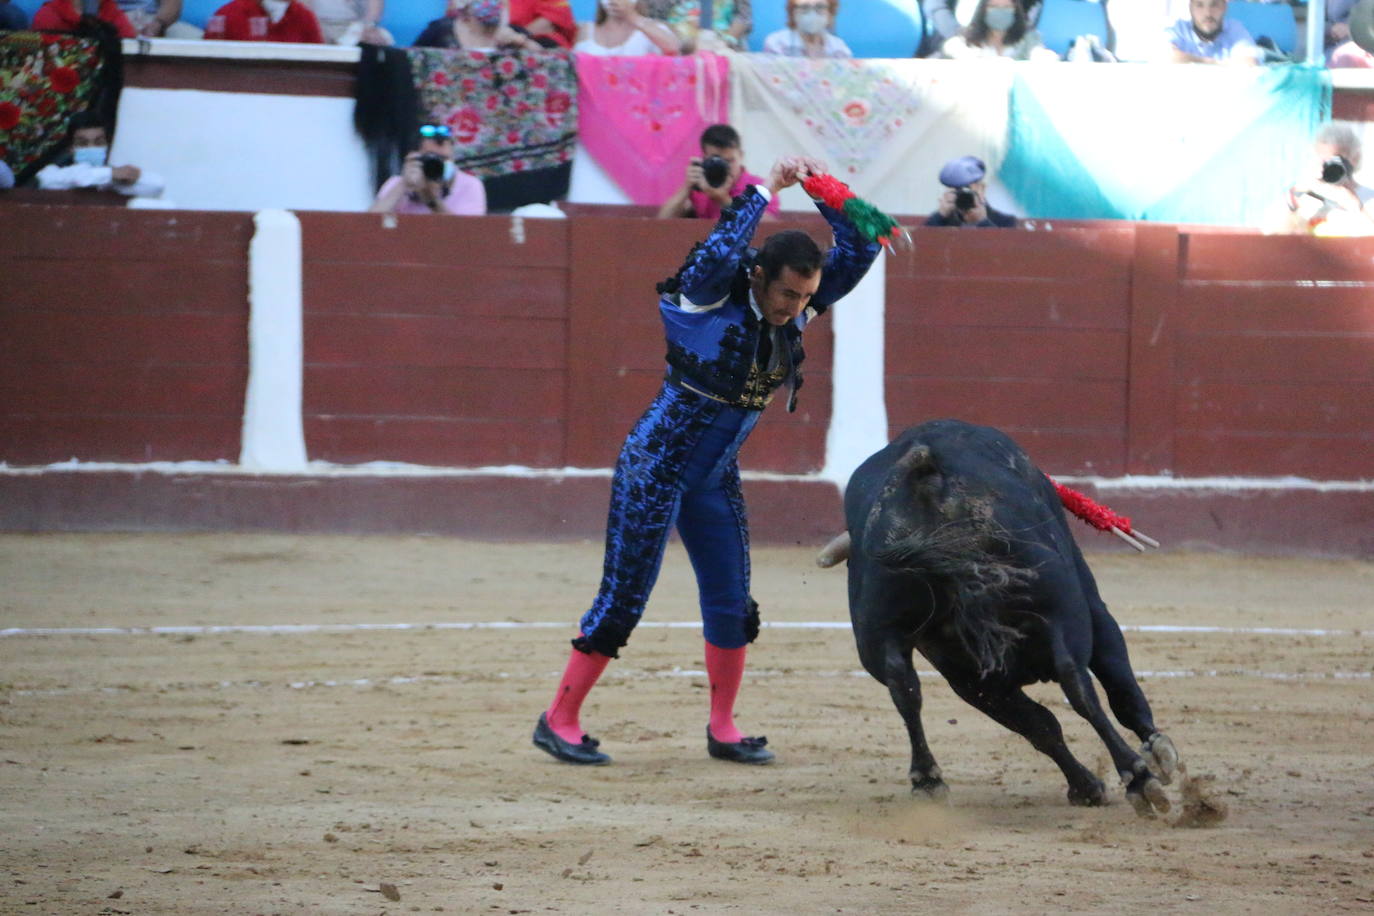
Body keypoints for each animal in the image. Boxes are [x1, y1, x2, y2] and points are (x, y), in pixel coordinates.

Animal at [835, 422, 1181, 818]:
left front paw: (1086, 787)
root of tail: (925, 474)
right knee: (1079, 684)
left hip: (885, 637)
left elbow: (1040, 727)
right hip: (1064, 608)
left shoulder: (974, 679)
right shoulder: (1092, 607)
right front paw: (1156, 751)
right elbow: (1119, 690)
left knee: (902, 687)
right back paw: (1139, 779)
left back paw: (928, 782)